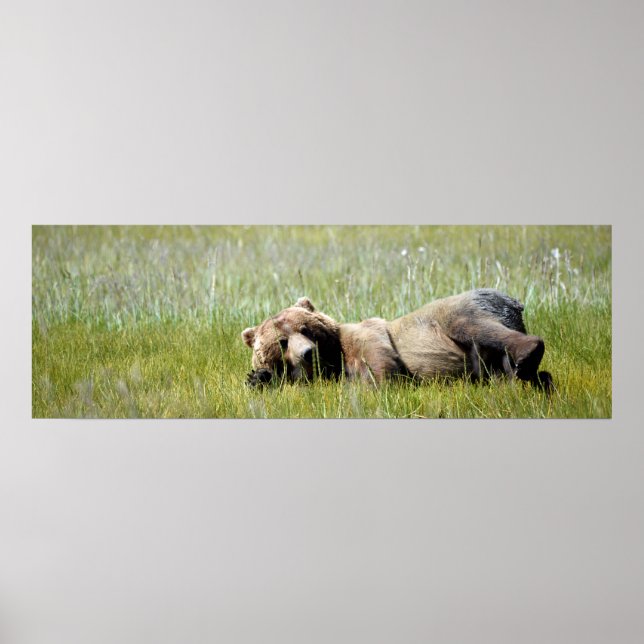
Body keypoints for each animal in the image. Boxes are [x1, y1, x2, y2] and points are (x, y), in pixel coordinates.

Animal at [241, 289, 553, 391]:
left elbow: (383, 367)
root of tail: (514, 302)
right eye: (282, 342)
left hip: (461, 309)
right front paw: (258, 378)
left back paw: (528, 355)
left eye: (305, 329)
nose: (307, 353)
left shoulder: (365, 336)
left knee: (475, 326)